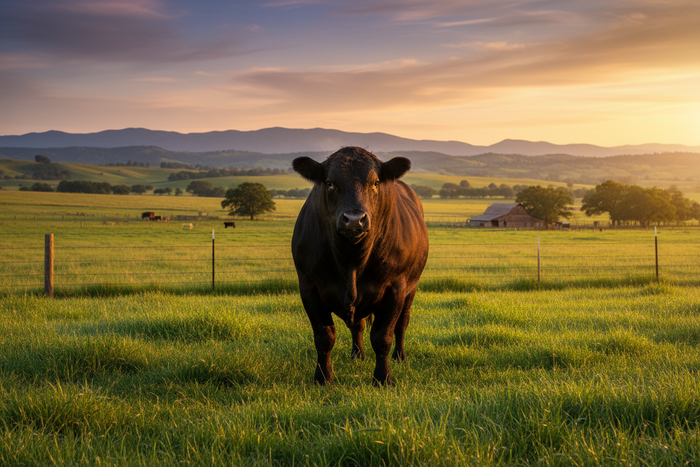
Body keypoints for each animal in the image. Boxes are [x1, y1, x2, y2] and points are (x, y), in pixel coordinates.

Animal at [291, 147, 429, 386]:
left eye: (375, 182)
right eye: (329, 183)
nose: (354, 219)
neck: (351, 261)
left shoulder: (395, 287)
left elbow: (383, 336)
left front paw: (383, 378)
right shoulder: (308, 287)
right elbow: (324, 336)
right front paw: (323, 377)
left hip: (411, 287)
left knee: (402, 323)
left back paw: (399, 356)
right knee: (359, 325)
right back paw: (357, 355)